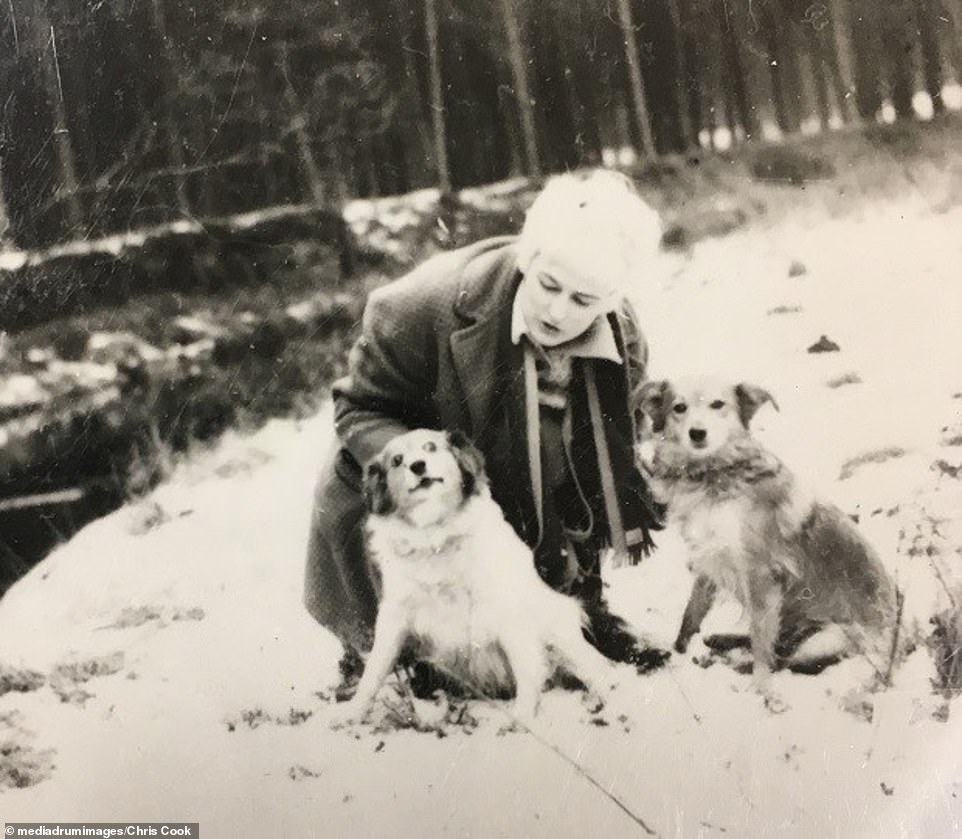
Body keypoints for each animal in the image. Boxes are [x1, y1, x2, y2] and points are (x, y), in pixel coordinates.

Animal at [330, 430, 616, 724]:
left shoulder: (507, 612)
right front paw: (354, 710)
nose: (418, 466)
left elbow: (526, 668)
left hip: (559, 630)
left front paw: (523, 716)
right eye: (397, 460)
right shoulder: (395, 615)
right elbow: (374, 669)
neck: (434, 536)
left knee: (597, 670)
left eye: (430, 447)